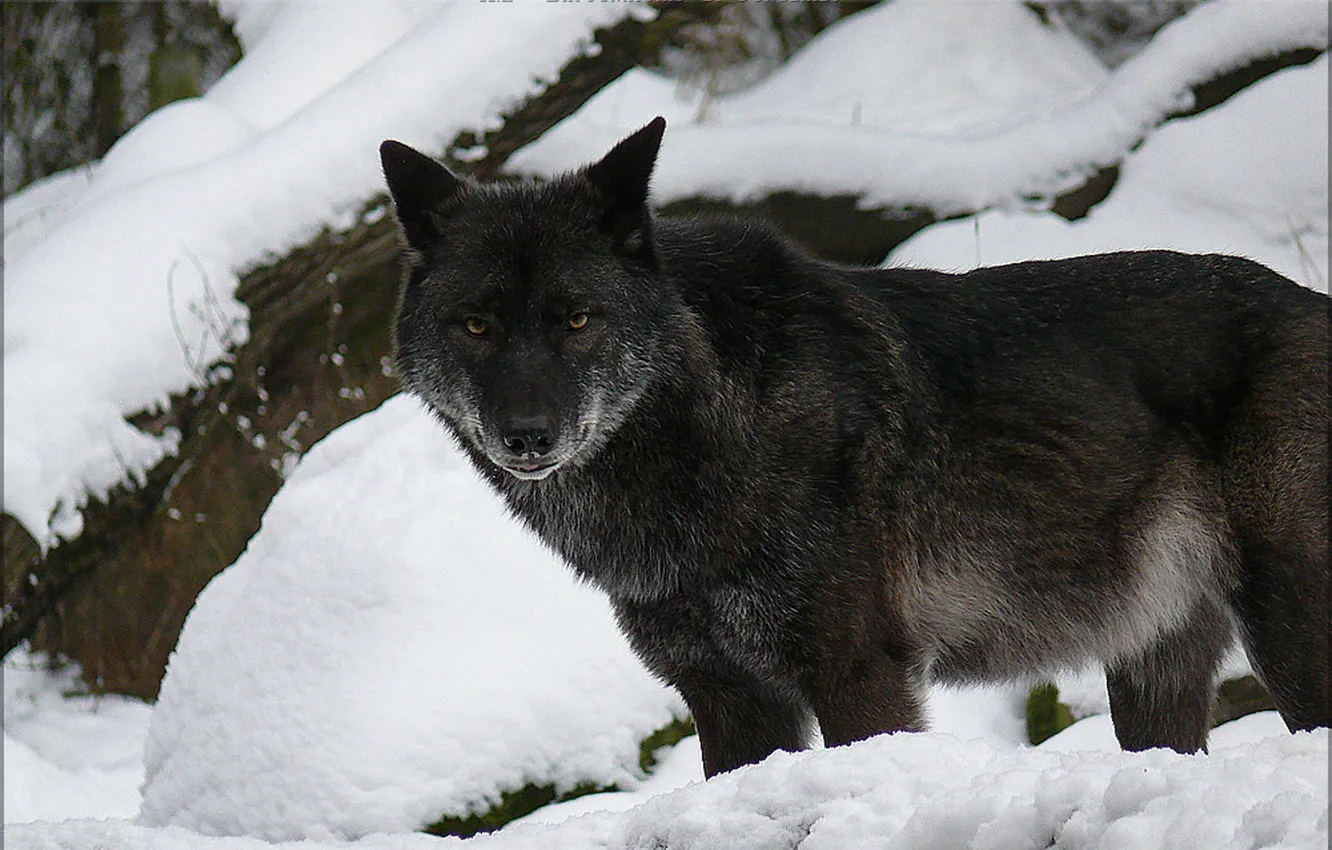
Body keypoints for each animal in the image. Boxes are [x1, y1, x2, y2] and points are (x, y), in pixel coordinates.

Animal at [381, 118, 1329, 777]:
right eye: (476, 325)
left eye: (577, 319)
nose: (526, 436)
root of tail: (1314, 303)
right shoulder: (726, 696)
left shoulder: (856, 671)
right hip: (1153, 668)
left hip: (1285, 627)